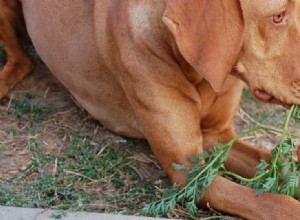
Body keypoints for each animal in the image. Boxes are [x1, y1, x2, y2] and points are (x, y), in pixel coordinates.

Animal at [1, 0, 300, 219]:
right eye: (277, 17)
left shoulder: (218, 137)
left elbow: (277, 162)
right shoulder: (190, 172)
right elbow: (275, 203)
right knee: (21, 60)